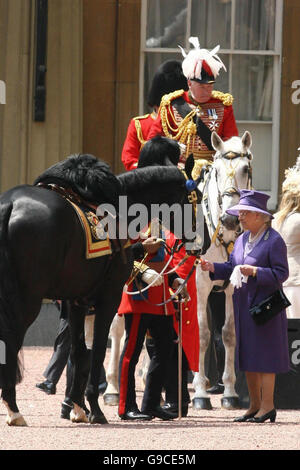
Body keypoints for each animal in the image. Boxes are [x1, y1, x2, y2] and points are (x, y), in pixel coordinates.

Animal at [0, 153, 199, 426]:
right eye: (194, 200)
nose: (201, 244)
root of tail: (9, 205)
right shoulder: (109, 298)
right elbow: (96, 353)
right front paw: (94, 408)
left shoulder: (75, 300)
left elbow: (79, 352)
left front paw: (77, 407)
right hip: (27, 299)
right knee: (12, 339)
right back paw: (14, 409)